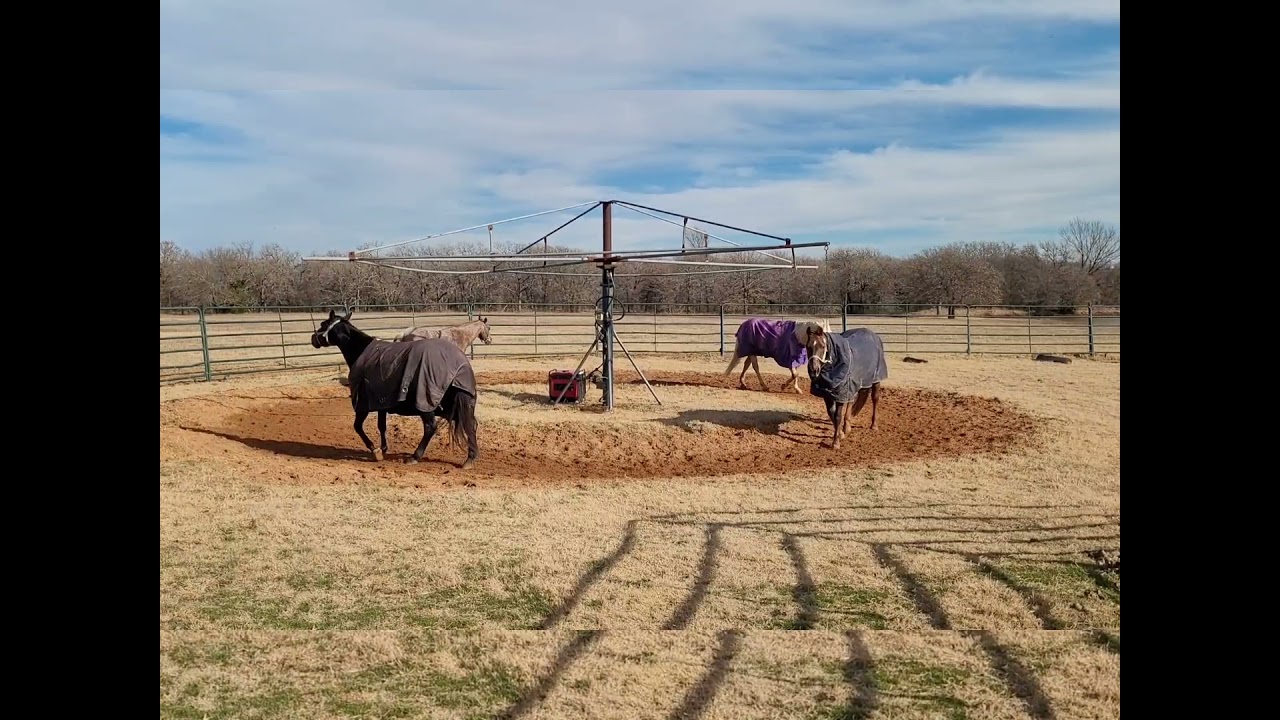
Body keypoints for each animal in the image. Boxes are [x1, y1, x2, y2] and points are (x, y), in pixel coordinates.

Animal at [311, 308, 480, 469]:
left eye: (323, 324)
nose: (313, 339)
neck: (362, 352)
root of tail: (458, 364)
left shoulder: (363, 404)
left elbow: (358, 427)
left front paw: (375, 450)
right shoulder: (381, 403)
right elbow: (381, 426)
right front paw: (383, 448)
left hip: (427, 405)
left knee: (431, 427)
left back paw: (415, 456)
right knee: (470, 424)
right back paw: (470, 458)